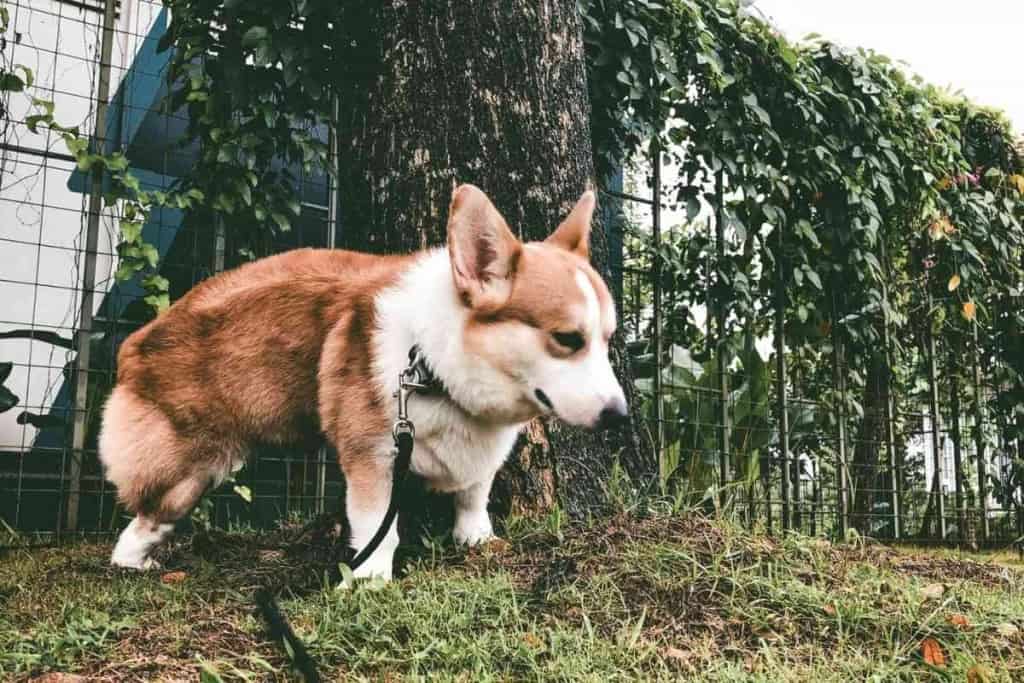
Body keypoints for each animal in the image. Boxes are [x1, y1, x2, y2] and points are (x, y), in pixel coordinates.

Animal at [101, 184, 622, 581]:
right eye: (567, 338)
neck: (433, 361)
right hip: (193, 467)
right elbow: (378, 528)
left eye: (607, 338)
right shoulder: (372, 456)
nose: (619, 415)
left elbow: (474, 493)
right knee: (147, 517)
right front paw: (371, 580)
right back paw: (133, 564)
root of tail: (136, 343)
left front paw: (476, 537)